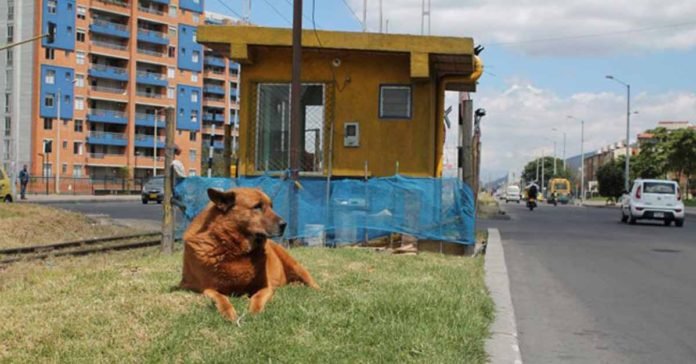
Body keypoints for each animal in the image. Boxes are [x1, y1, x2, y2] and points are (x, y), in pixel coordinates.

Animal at [179, 186, 320, 320]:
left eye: (271, 206)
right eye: (257, 206)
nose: (284, 224)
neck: (234, 250)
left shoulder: (265, 287)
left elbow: (257, 297)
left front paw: (254, 312)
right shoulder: (206, 288)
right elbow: (221, 298)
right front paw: (228, 313)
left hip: (295, 265)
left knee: (311, 282)